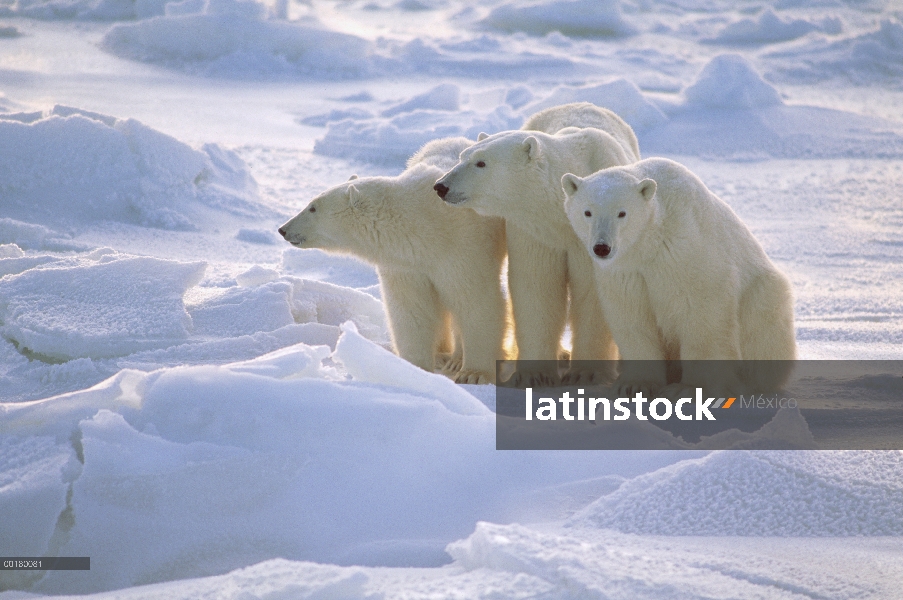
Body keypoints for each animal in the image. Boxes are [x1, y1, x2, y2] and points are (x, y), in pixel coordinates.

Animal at [278, 137, 508, 384]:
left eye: (313, 207)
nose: (283, 229)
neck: (423, 225)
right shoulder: (405, 263)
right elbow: (411, 309)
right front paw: (413, 369)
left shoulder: (463, 247)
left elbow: (475, 301)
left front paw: (473, 373)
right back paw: (443, 357)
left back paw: (455, 359)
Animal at [434, 102, 640, 384]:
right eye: (462, 157)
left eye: (481, 162)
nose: (441, 186)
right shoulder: (536, 230)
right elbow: (536, 287)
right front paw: (532, 375)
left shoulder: (591, 236)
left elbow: (591, 293)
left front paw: (585, 373)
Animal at [560, 157, 800, 396]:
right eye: (587, 212)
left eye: (622, 213)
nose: (602, 248)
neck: (649, 243)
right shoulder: (626, 271)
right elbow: (633, 318)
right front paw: (636, 384)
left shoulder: (686, 251)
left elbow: (701, 313)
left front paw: (688, 388)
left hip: (762, 295)